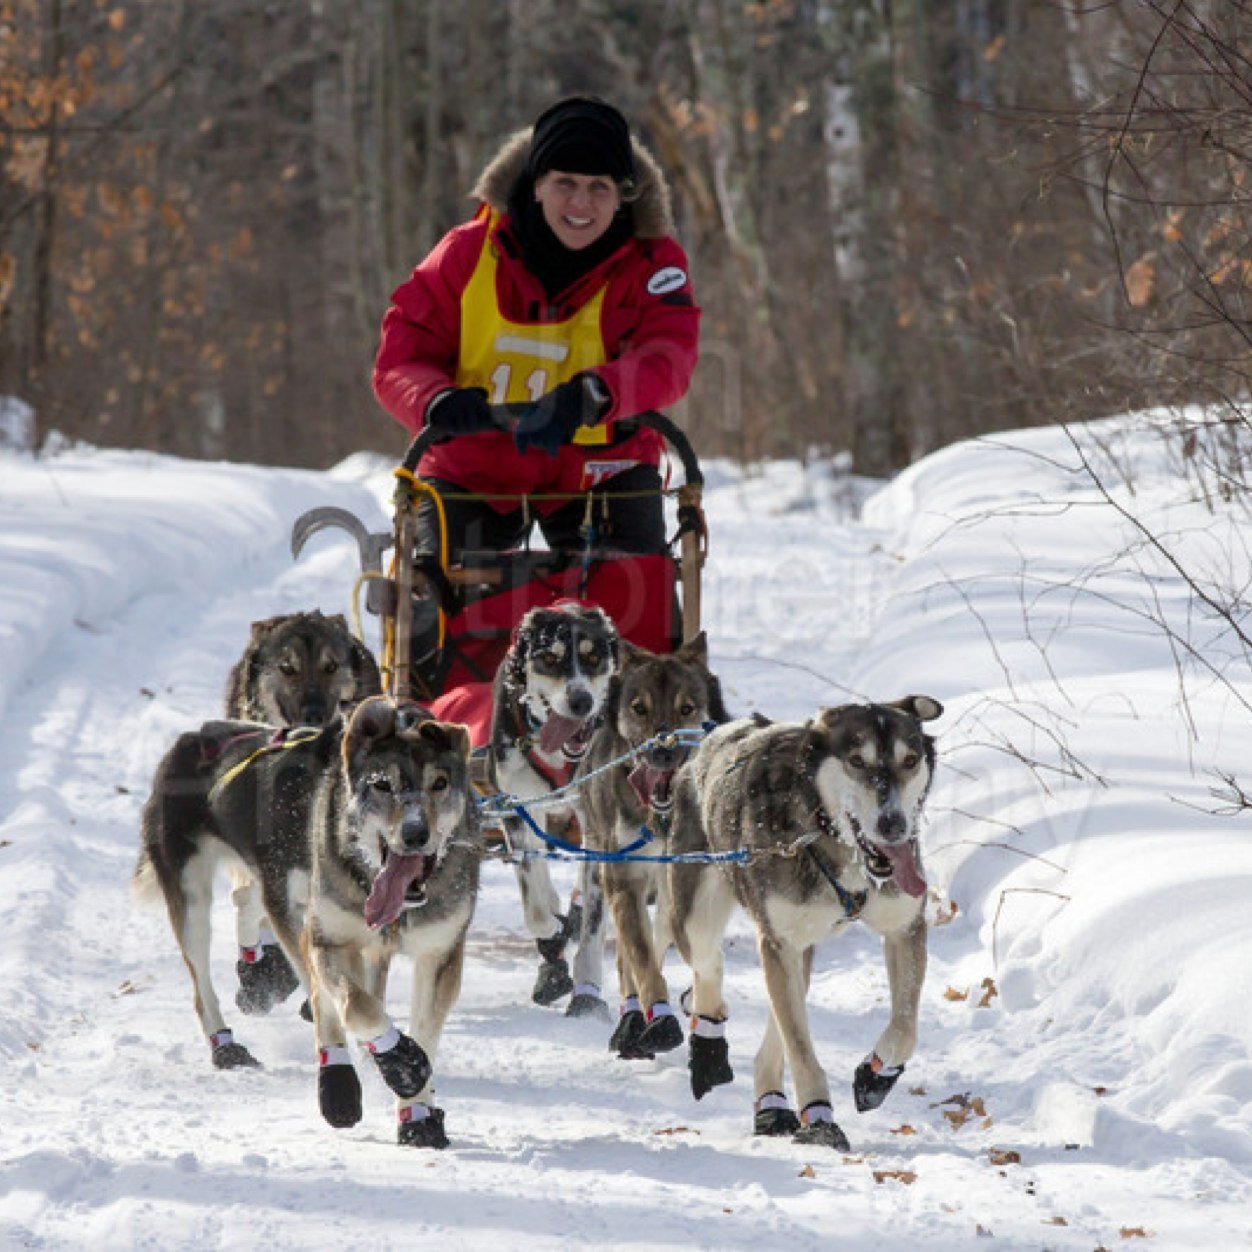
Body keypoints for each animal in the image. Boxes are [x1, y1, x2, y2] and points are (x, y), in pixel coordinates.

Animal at [302, 701, 478, 1146]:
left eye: (439, 783)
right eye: (382, 785)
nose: (416, 833)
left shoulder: (441, 954)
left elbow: (426, 1033)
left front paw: (417, 1114)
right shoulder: (331, 940)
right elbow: (356, 1006)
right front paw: (398, 1056)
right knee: (327, 1002)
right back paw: (339, 1084)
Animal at [490, 603, 623, 1006]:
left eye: (594, 658)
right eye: (550, 659)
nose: (581, 701)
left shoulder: (599, 827)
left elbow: (594, 918)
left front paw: (588, 981)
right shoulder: (514, 808)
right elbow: (534, 903)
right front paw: (551, 929)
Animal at [573, 636, 731, 1056]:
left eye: (686, 708)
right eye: (639, 708)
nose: (662, 751)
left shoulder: (682, 885)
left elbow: (673, 948)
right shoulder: (624, 881)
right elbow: (641, 960)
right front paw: (658, 1018)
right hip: (603, 874)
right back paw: (631, 1020)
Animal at [666, 701, 941, 1146]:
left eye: (910, 760)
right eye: (857, 761)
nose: (893, 824)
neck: (829, 837)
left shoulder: (905, 928)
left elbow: (905, 1028)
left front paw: (876, 1075)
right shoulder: (777, 941)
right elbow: (799, 1046)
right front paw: (820, 1117)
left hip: (799, 952)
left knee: (773, 1029)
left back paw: (771, 1106)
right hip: (700, 916)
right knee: (710, 968)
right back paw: (707, 1045)